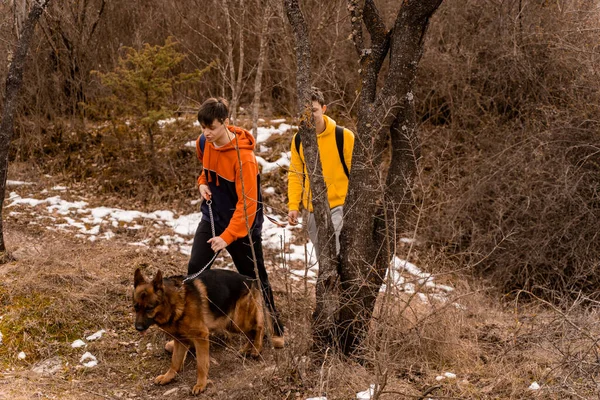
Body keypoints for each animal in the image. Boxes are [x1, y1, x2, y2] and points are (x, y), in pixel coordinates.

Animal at [136, 268, 268, 394]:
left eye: (149, 308)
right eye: (135, 307)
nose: (138, 328)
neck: (175, 302)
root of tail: (251, 280)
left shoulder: (201, 337)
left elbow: (201, 364)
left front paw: (201, 385)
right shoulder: (180, 341)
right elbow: (175, 362)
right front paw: (168, 377)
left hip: (238, 320)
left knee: (260, 326)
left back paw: (257, 348)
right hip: (231, 323)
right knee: (250, 333)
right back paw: (246, 349)